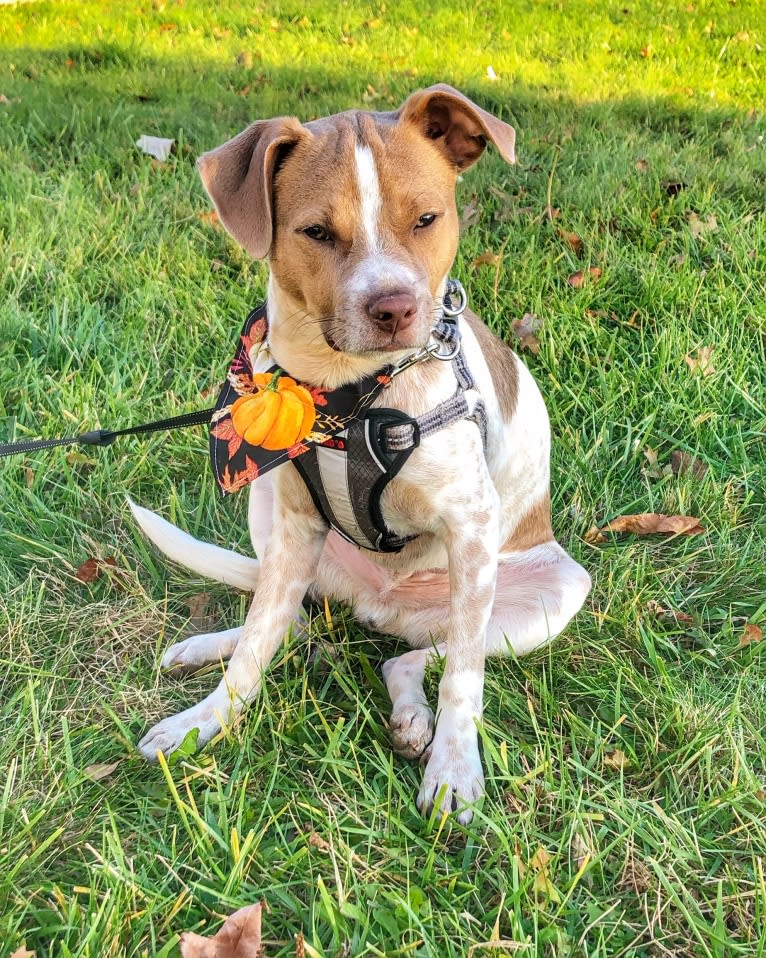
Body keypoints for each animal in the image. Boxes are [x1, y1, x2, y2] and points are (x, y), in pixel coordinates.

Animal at [129, 84, 592, 824]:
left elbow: (463, 679)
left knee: (418, 659)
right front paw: (205, 722)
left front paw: (455, 769)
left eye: (427, 218)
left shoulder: (471, 526)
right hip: (270, 511)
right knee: (288, 621)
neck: (349, 394)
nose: (395, 309)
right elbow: (256, 645)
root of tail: (380, 604)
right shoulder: (294, 522)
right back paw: (207, 650)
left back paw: (414, 721)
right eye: (317, 232)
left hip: (543, 595)